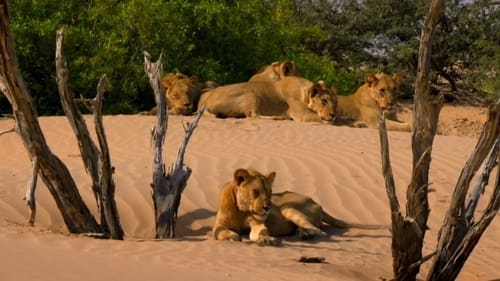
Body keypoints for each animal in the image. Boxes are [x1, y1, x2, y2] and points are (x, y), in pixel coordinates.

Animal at [196, 75, 336, 122]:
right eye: (324, 101)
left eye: (334, 102)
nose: (333, 114)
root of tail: (207, 101)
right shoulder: (303, 115)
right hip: (252, 95)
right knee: (253, 115)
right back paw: (280, 117)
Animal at [211, 167, 390, 244]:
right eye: (255, 192)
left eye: (269, 192)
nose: (267, 208)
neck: (240, 210)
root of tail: (317, 203)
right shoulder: (218, 226)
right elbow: (220, 233)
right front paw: (231, 236)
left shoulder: (257, 223)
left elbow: (261, 230)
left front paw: (265, 238)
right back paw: (302, 234)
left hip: (287, 208)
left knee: (319, 231)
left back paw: (305, 235)